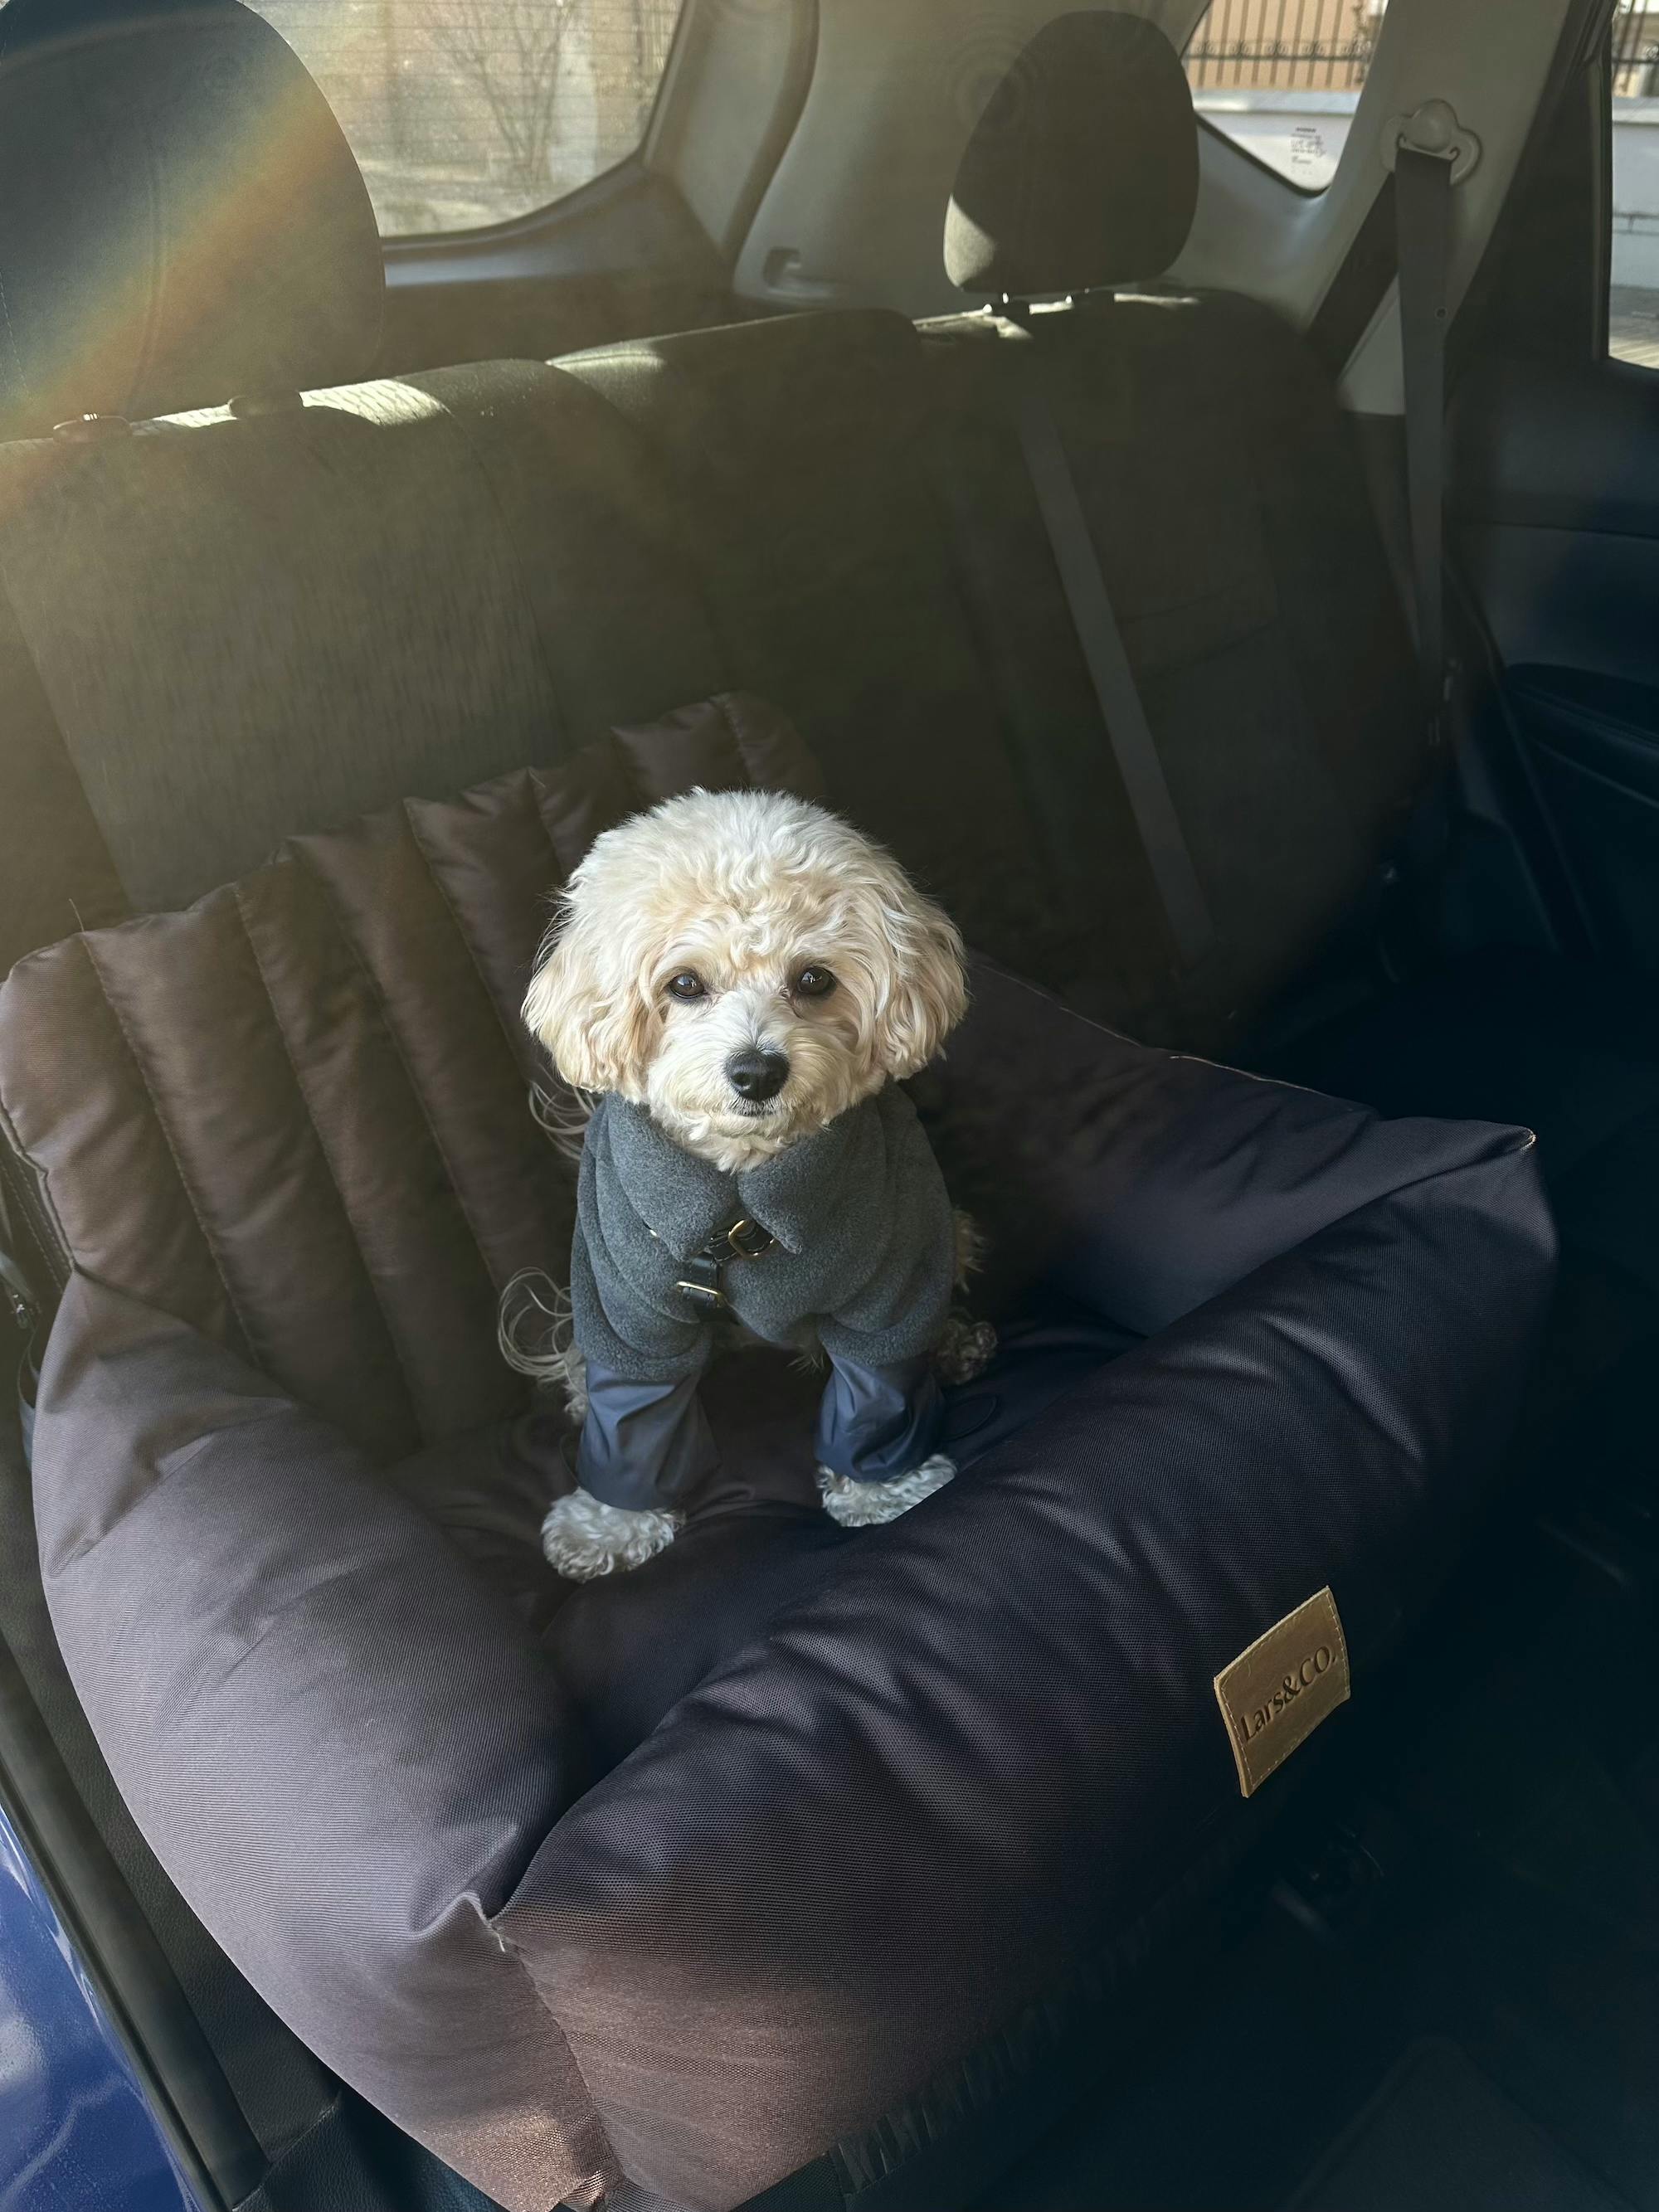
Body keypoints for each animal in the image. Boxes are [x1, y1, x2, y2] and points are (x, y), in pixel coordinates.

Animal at [505, 786, 993, 1581]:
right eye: (684, 984)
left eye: (814, 979)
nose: (758, 1071)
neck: (744, 1200)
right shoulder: (631, 1317)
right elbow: (632, 1415)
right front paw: (610, 1522)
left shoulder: (889, 1287)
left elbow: (877, 1387)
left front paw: (883, 1488)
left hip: (944, 1229)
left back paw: (952, 1344)